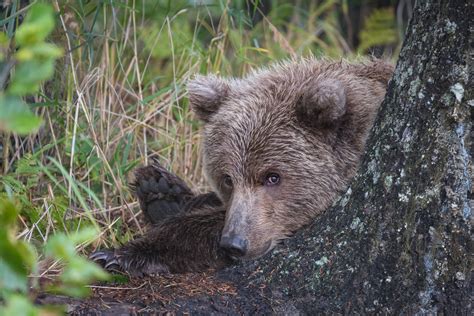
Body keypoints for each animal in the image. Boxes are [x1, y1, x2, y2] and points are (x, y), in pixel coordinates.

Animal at [89, 58, 392, 276]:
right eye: (227, 179)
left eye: (273, 177)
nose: (234, 243)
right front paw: (161, 191)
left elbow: (206, 225)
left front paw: (118, 254)